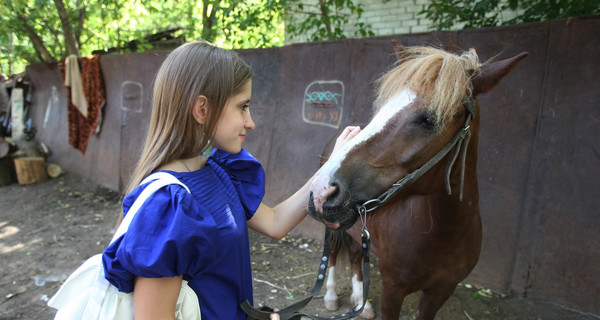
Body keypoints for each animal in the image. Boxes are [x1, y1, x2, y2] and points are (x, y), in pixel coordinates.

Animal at [308, 43, 528, 320]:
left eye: (429, 120)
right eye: (379, 107)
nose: (322, 191)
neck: (443, 235)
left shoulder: (441, 292)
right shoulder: (393, 289)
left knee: (357, 255)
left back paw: (362, 303)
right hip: (333, 229)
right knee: (334, 255)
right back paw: (330, 297)